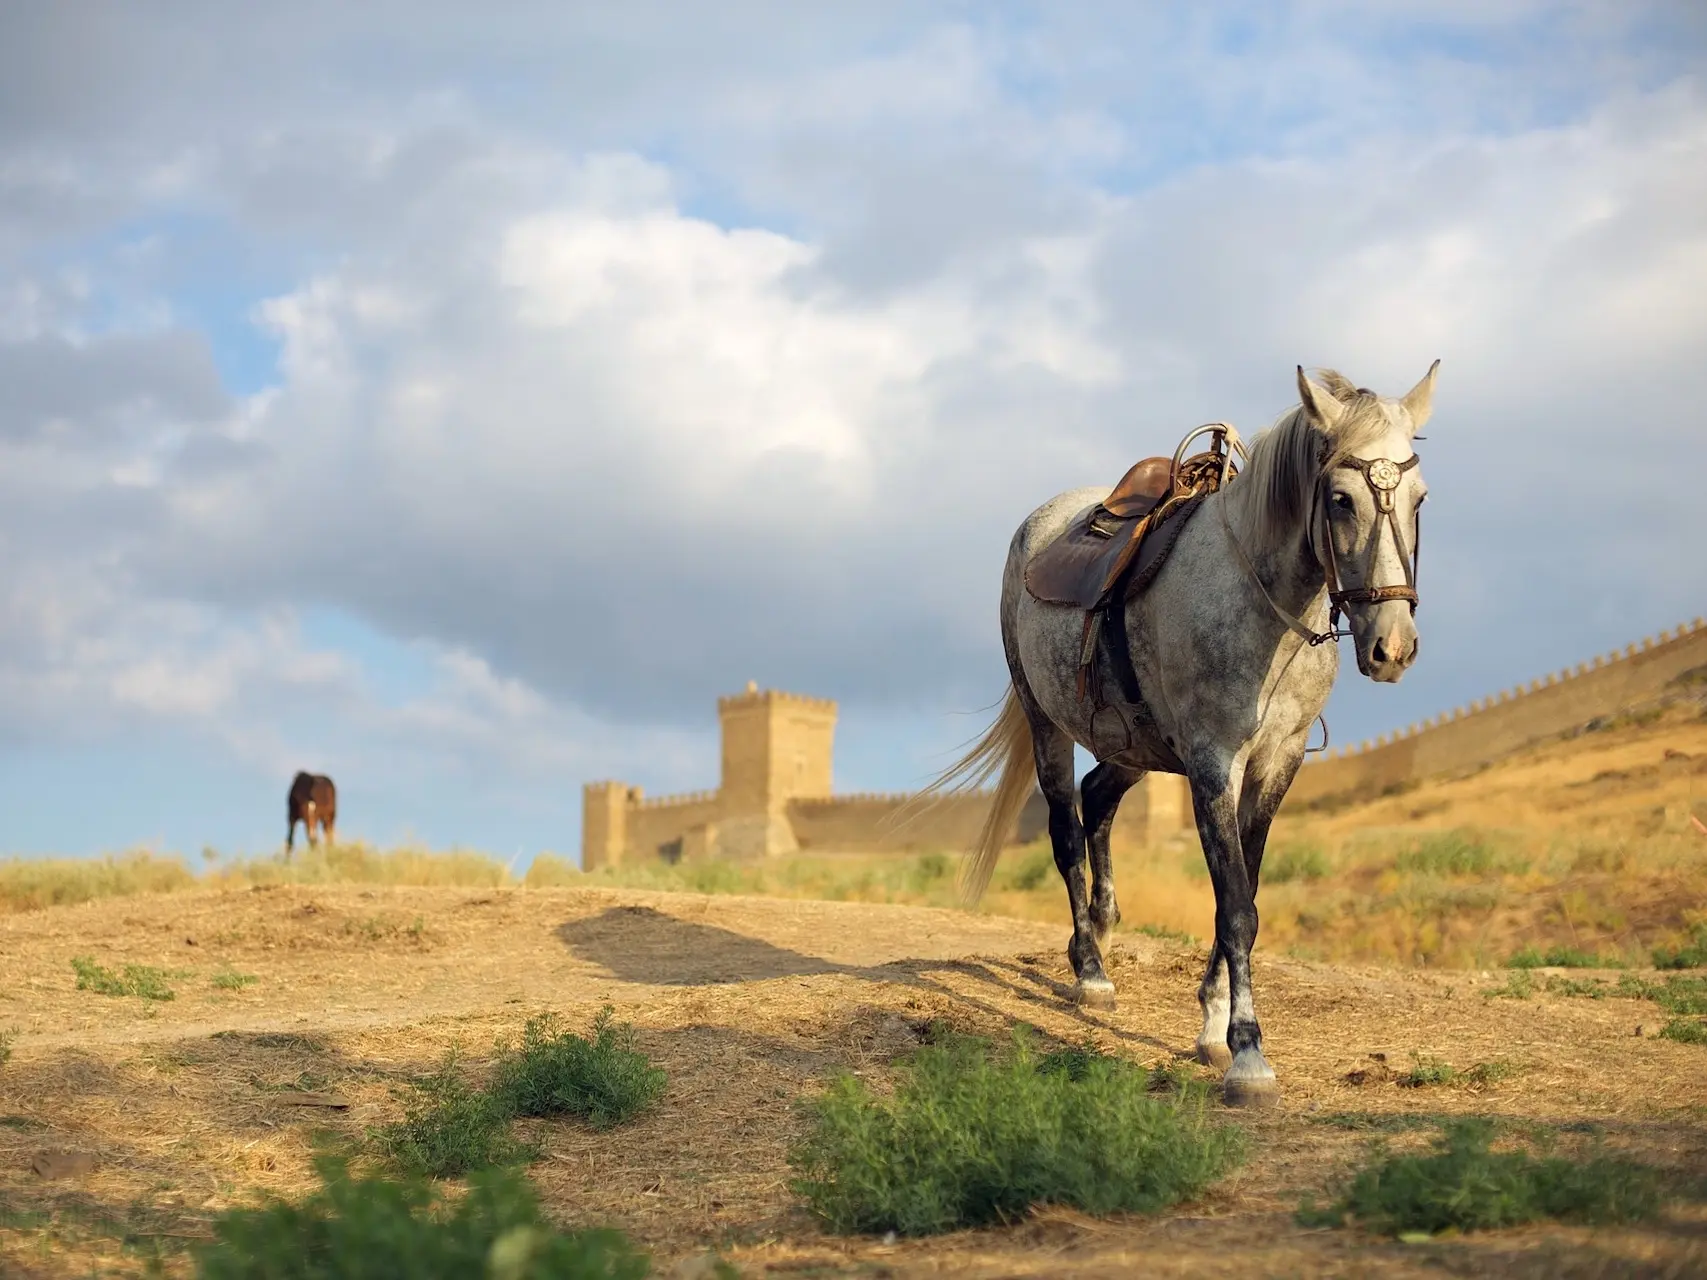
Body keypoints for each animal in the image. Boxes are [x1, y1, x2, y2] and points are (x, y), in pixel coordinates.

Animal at [935, 365, 1440, 1105]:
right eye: (1340, 500)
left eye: (1419, 498)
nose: (1392, 648)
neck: (1264, 609)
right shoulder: (1211, 763)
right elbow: (1235, 908)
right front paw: (1247, 1053)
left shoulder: (1275, 765)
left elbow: (1244, 893)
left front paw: (1212, 1023)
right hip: (1047, 723)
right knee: (1065, 829)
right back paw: (1090, 970)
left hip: (1132, 744)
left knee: (1099, 797)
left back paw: (1103, 923)